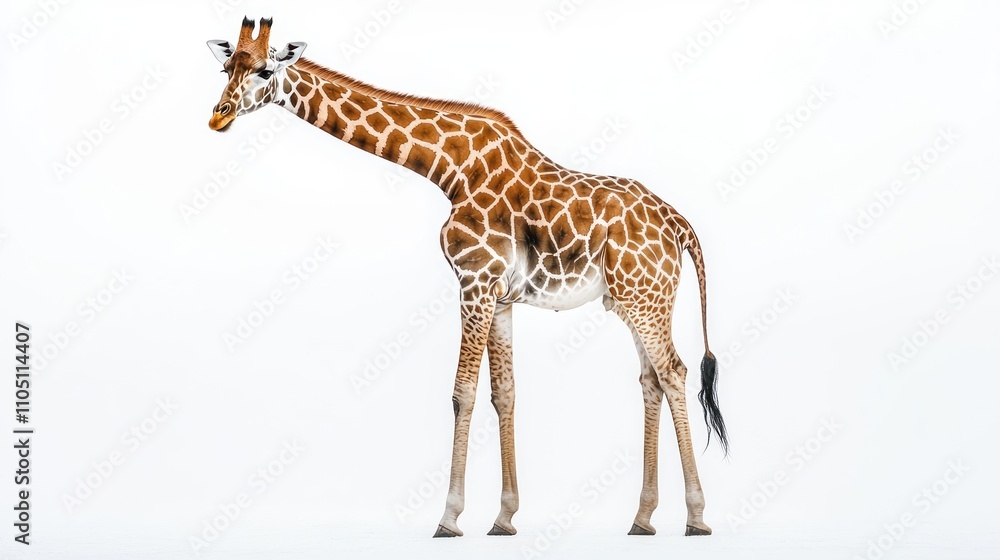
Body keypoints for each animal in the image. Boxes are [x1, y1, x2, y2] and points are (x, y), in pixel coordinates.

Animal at [207, 17, 729, 538]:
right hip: (632, 299)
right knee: (651, 379)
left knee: (674, 371)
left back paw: (697, 517)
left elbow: (462, 393)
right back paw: (642, 519)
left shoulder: (474, 282)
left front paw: (449, 517)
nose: (218, 117)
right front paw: (504, 517)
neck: (450, 169)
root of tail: (679, 224)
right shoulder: (499, 296)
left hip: (645, 296)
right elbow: (504, 393)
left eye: (265, 70)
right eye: (227, 68)